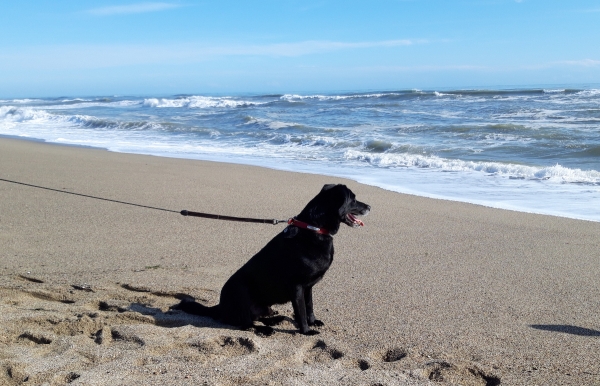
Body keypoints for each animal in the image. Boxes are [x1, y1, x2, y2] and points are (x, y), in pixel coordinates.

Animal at [171, 184, 370, 334]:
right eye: (353, 199)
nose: (369, 207)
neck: (313, 228)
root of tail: (220, 306)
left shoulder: (308, 287)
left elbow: (310, 306)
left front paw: (313, 322)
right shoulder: (297, 286)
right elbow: (301, 312)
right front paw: (306, 331)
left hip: (263, 304)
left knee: (258, 317)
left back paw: (276, 319)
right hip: (241, 292)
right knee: (245, 323)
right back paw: (265, 329)